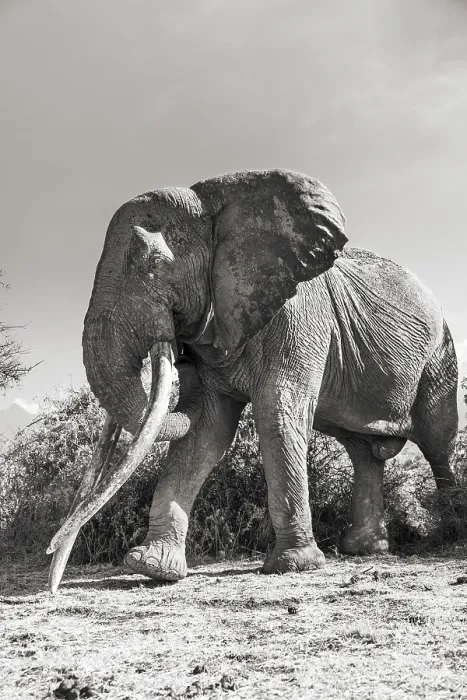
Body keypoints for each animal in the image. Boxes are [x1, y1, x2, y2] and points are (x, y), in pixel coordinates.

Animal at [47, 168, 458, 592]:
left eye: (155, 264)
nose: (52, 580)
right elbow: (206, 429)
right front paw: (150, 566)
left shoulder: (299, 314)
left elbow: (276, 412)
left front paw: (294, 566)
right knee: (363, 452)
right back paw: (363, 549)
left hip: (440, 357)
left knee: (437, 442)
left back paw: (448, 532)